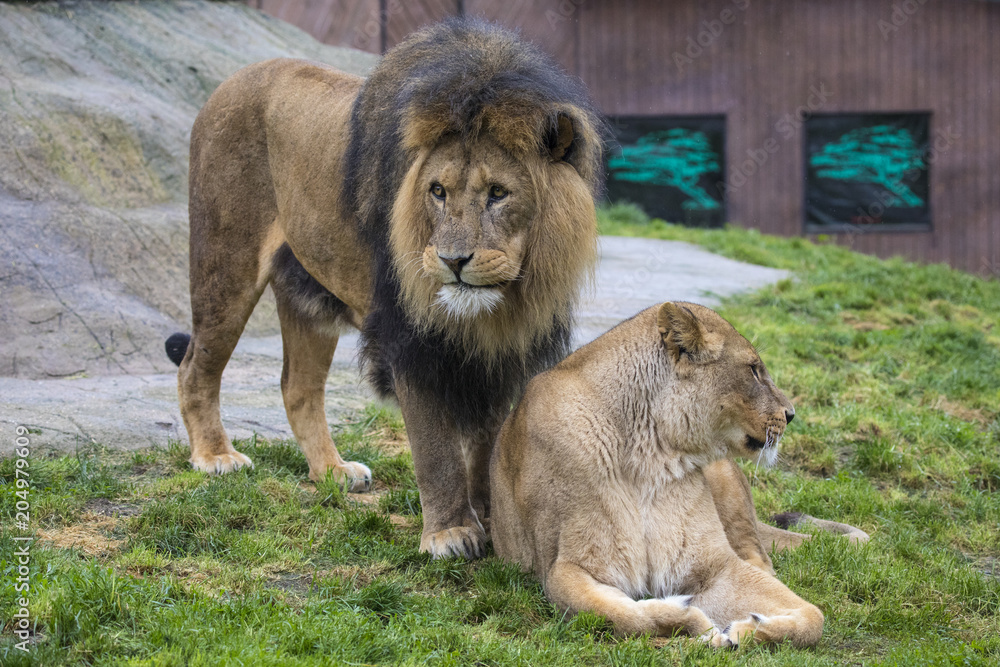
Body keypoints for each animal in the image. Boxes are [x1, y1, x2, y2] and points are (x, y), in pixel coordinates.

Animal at [165, 19, 605, 558]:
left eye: (498, 193)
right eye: (437, 191)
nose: (452, 261)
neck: (496, 309)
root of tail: (230, 81)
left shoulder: (505, 350)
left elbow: (488, 438)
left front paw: (490, 517)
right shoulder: (409, 338)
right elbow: (436, 447)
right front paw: (449, 534)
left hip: (308, 298)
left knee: (298, 386)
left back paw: (333, 471)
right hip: (226, 263)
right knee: (195, 366)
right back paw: (215, 456)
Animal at [490, 302, 826, 647]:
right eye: (754, 369)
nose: (791, 414)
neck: (651, 456)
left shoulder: (715, 566)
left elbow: (814, 618)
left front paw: (748, 630)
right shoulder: (564, 567)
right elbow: (620, 616)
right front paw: (691, 621)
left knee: (760, 558)